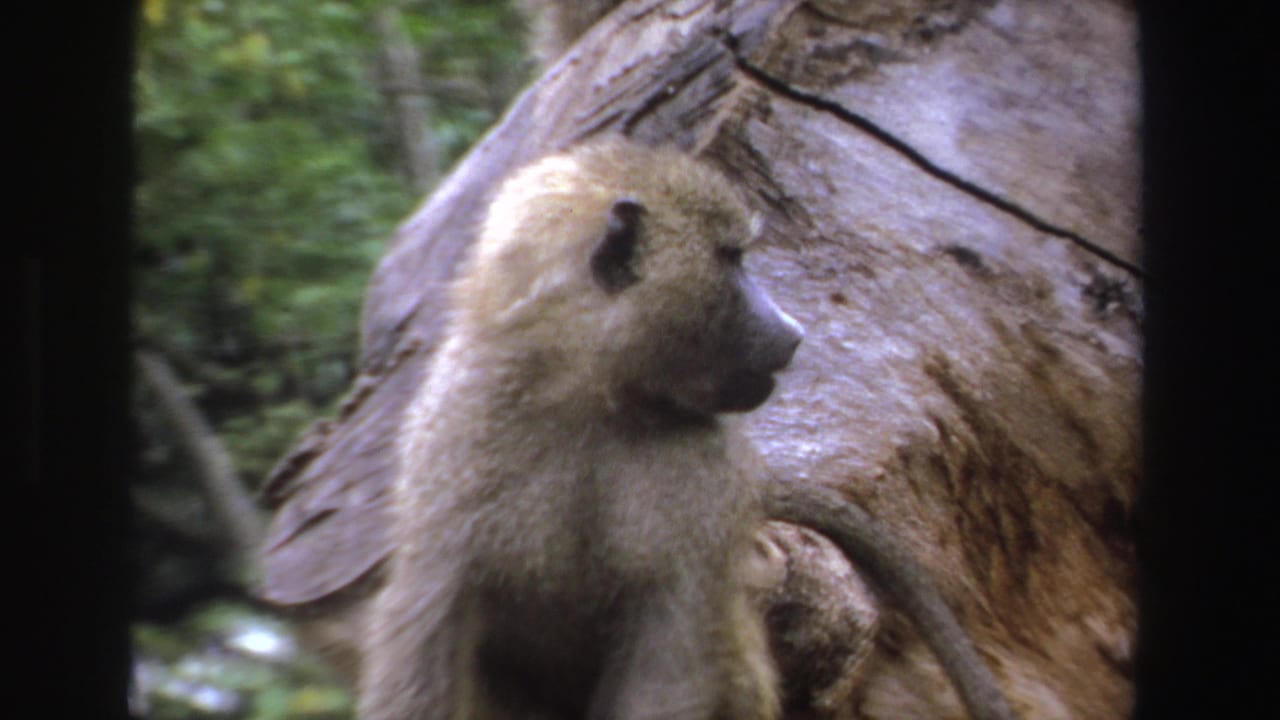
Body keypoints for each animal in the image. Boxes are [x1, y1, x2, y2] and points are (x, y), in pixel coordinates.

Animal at [357, 137, 800, 720]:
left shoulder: (707, 472)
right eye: (732, 259)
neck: (589, 395)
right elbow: (429, 619)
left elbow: (670, 654)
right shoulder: (456, 432)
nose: (793, 331)